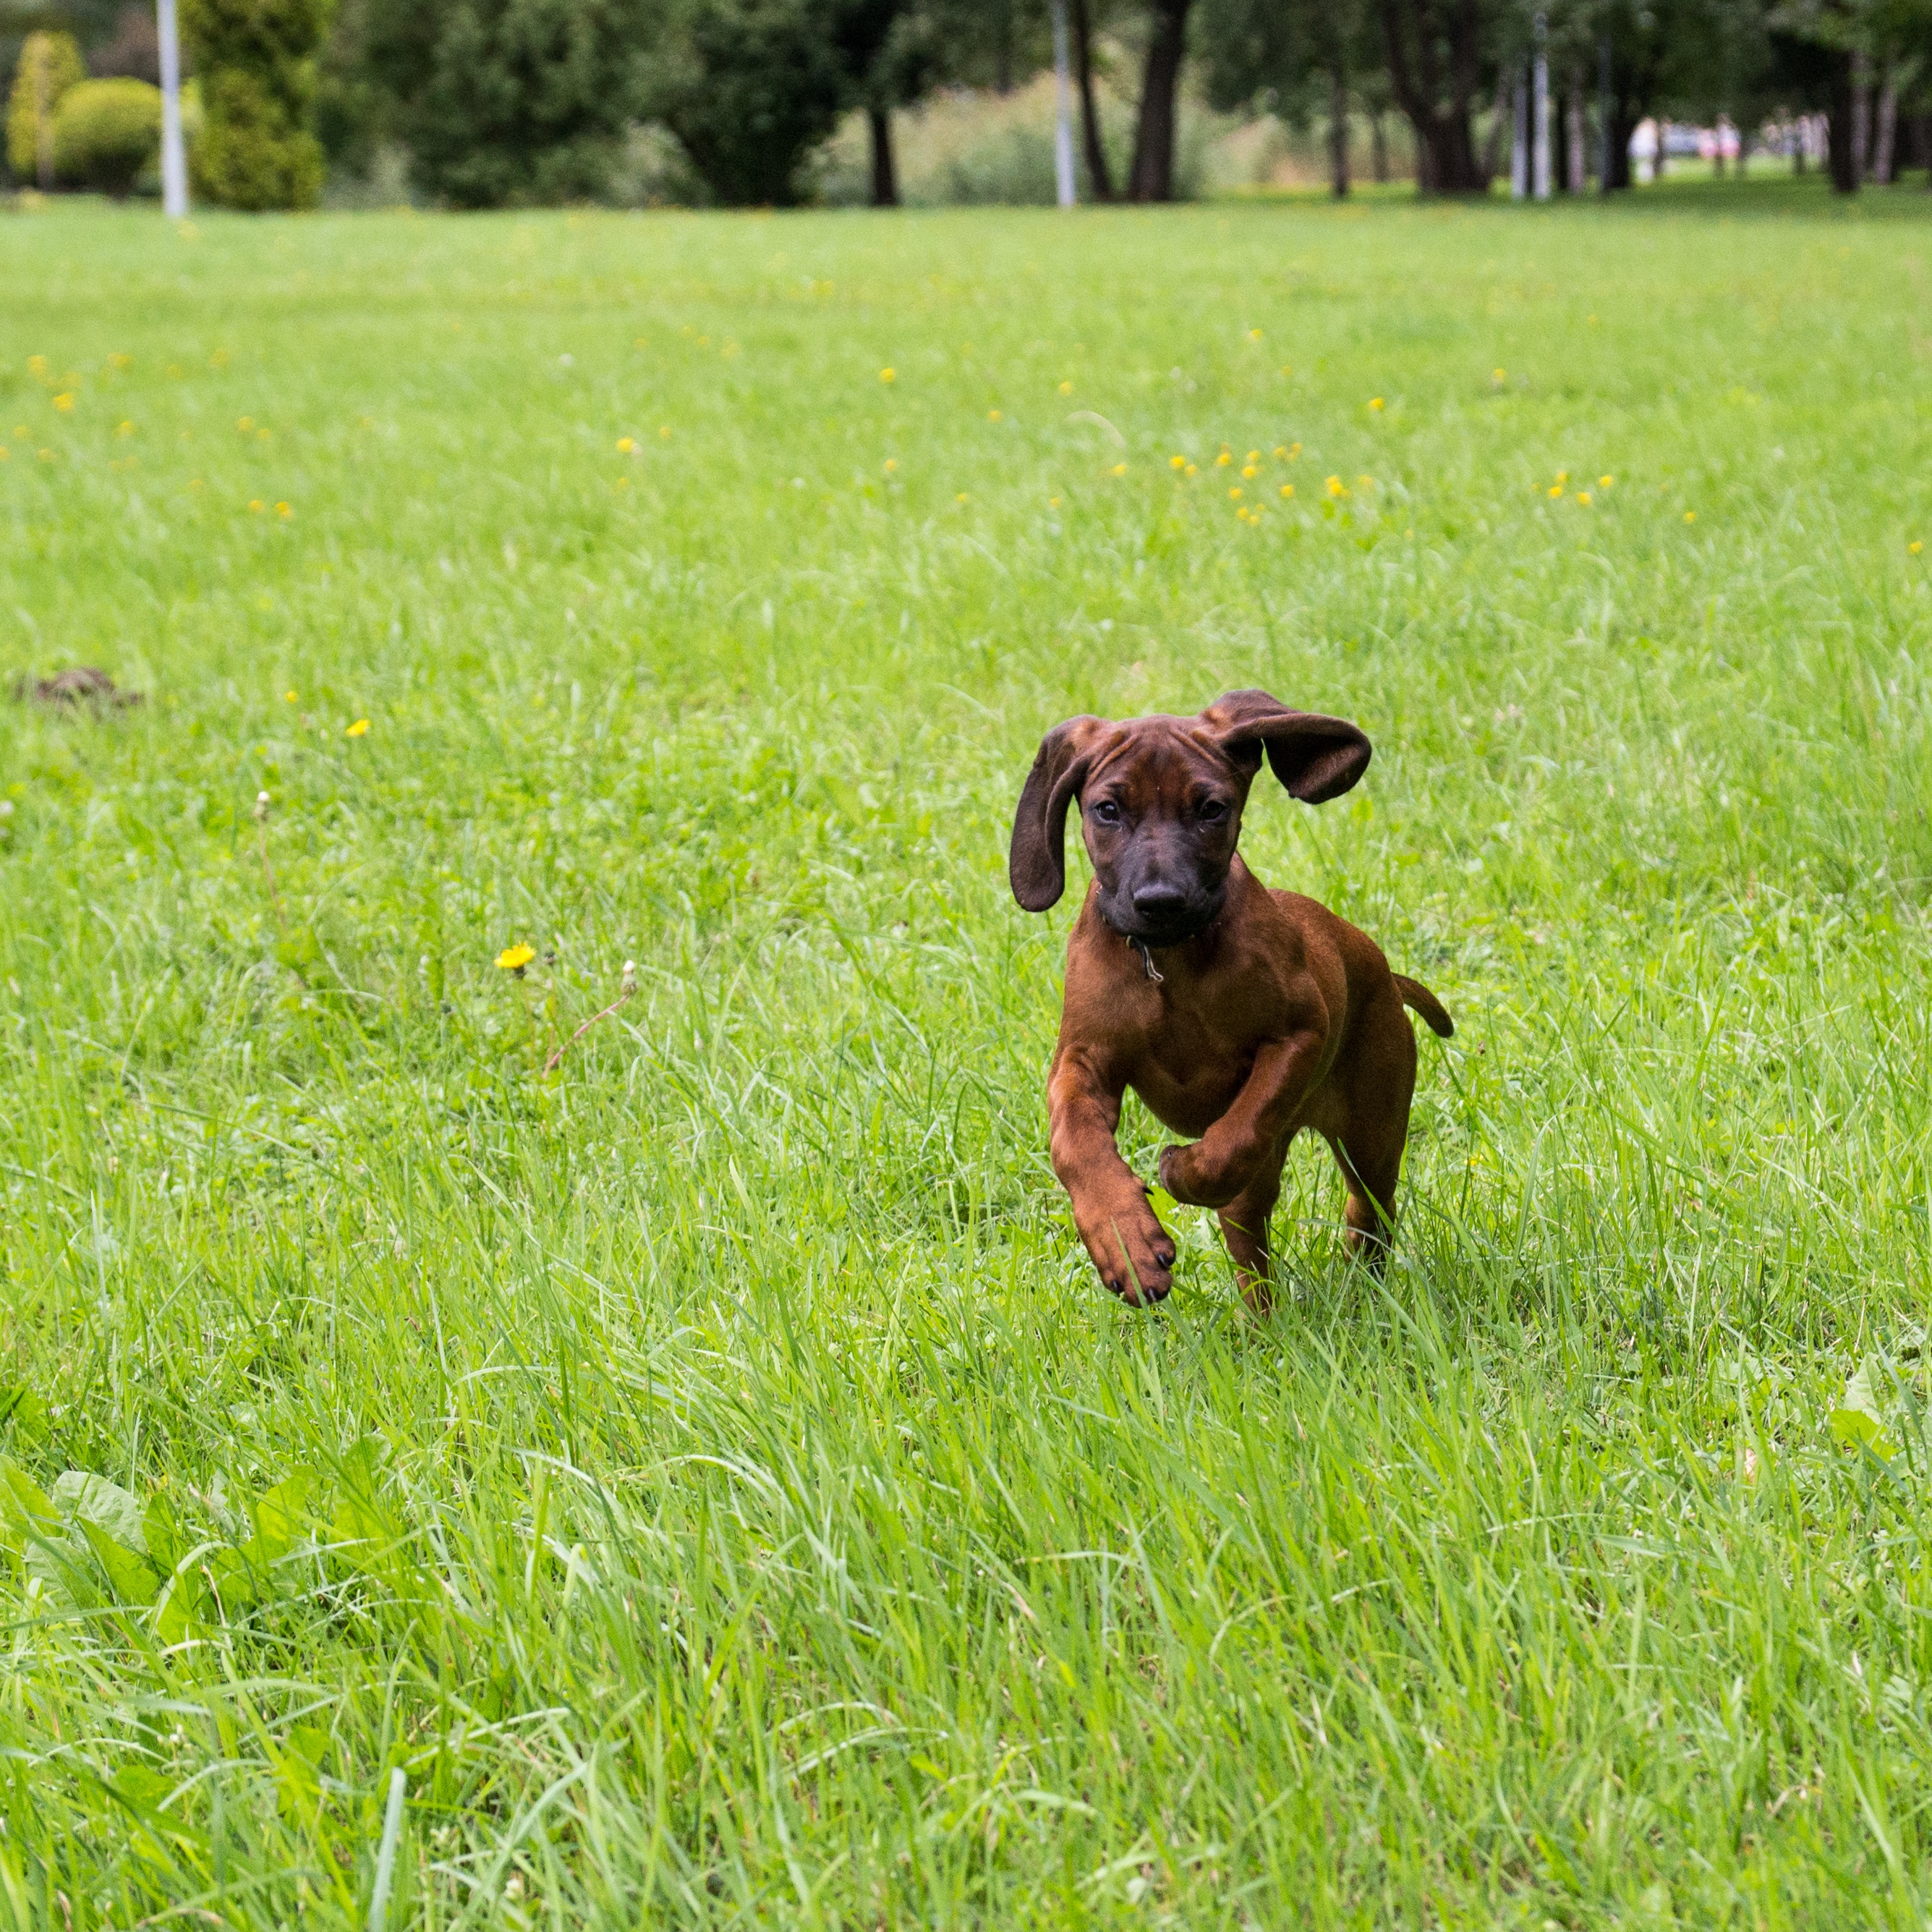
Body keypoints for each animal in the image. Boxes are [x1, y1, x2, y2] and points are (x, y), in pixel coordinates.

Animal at [1012, 687, 1452, 1306]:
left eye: (1211, 809)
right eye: (1107, 810)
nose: (1160, 901)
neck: (1167, 964)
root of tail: (1386, 973)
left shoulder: (1299, 1034)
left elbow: (1237, 1132)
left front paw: (1180, 1169)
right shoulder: (1080, 1060)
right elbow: (1075, 1143)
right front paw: (1125, 1241)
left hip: (1371, 1127)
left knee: (1366, 1207)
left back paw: (1362, 1288)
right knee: (1253, 1253)